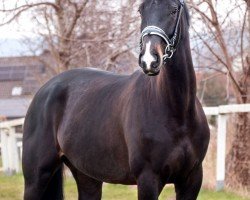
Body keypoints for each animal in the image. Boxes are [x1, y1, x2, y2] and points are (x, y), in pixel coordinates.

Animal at [22, 0, 209, 199]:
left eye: (173, 10)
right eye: (141, 10)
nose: (149, 60)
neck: (177, 112)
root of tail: (46, 89)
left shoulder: (191, 179)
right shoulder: (148, 179)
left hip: (87, 176)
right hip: (36, 178)